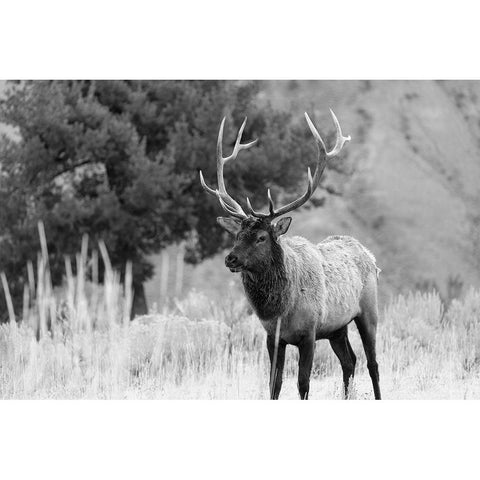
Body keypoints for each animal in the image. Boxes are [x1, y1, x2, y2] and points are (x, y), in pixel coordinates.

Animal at [199, 110, 382, 400]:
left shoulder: (309, 333)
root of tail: (370, 256)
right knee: (350, 361)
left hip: (368, 311)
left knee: (372, 363)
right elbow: (274, 384)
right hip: (337, 328)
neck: (281, 311)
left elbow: (303, 384)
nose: (231, 259)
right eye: (237, 235)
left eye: (261, 237)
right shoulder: (273, 338)